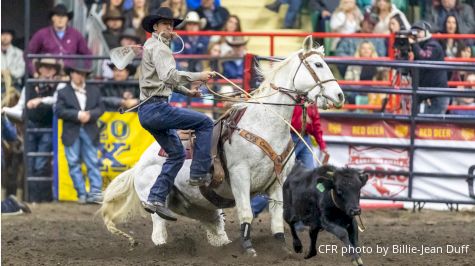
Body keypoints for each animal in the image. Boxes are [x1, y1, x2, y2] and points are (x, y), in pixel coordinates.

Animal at [101, 35, 346, 256]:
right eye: (318, 64)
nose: (340, 95)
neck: (264, 123)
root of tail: (137, 166)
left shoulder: (277, 180)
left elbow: (277, 219)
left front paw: (282, 249)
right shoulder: (240, 176)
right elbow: (246, 213)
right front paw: (248, 249)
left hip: (203, 207)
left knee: (215, 230)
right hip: (156, 201)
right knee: (158, 231)